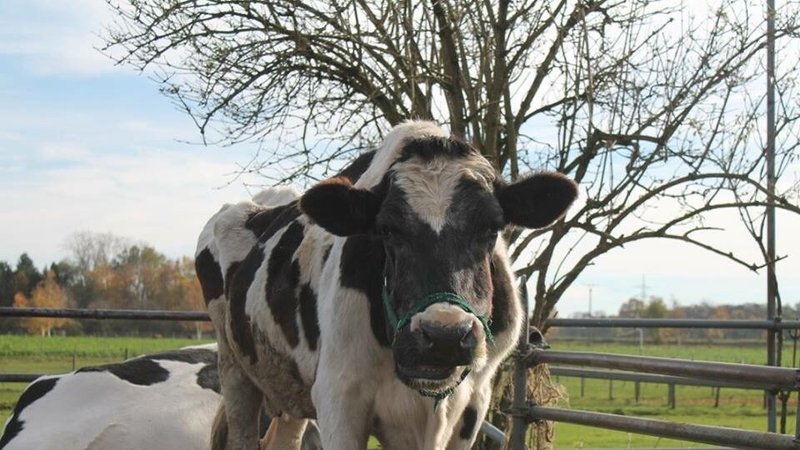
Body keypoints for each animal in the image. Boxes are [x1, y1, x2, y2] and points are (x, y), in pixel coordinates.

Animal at [197, 119, 580, 450]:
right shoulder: (339, 397)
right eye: (387, 230)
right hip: (234, 369)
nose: (444, 335)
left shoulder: (472, 404)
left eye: (492, 228)